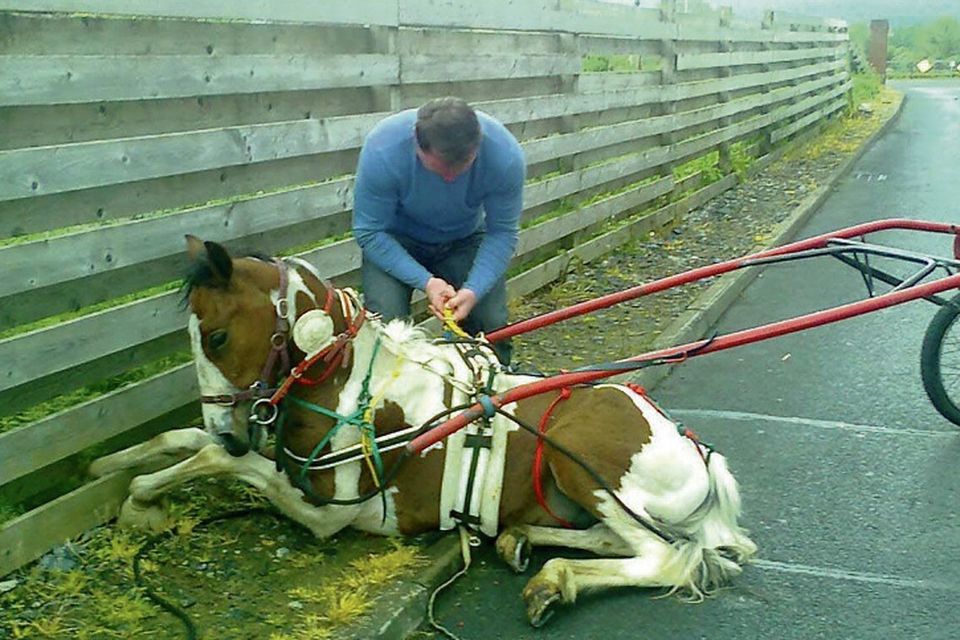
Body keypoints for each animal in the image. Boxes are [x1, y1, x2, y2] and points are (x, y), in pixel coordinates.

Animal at [94, 235, 756, 624]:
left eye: (217, 336)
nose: (231, 427)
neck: (357, 388)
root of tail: (699, 453)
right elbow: (191, 444)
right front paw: (112, 469)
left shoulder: (330, 514)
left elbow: (221, 462)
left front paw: (139, 501)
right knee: (618, 541)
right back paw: (523, 543)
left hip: (580, 454)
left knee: (664, 559)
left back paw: (553, 580)